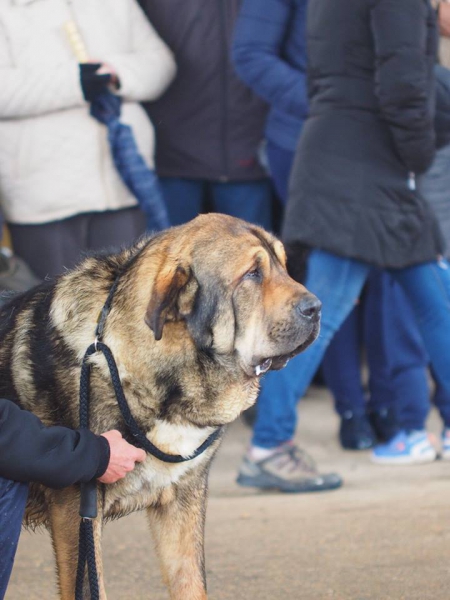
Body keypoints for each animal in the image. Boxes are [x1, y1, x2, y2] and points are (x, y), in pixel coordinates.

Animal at [0, 216, 320, 600]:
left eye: (283, 266)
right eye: (252, 274)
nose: (317, 308)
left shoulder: (183, 502)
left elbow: (192, 583)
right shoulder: (76, 511)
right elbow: (91, 588)